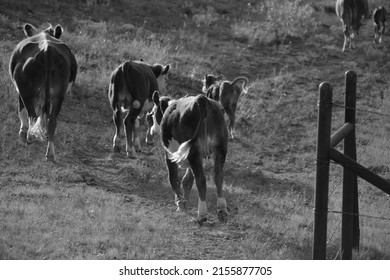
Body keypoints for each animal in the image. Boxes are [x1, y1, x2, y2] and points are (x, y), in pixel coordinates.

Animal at [9, 23, 77, 162]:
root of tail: (48, 48)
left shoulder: (19, 90)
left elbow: (21, 111)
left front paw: (22, 133)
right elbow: (43, 112)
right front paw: (43, 132)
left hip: (26, 90)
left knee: (32, 115)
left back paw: (29, 137)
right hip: (59, 94)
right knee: (52, 120)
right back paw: (50, 154)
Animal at [149, 91, 229, 224]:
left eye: (153, 113)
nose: (152, 130)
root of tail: (201, 99)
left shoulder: (169, 154)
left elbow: (174, 178)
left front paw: (180, 203)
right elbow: (187, 180)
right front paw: (185, 202)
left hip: (193, 152)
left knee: (201, 180)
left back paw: (202, 215)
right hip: (220, 148)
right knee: (218, 176)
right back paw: (222, 210)